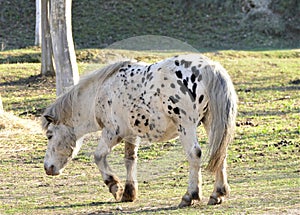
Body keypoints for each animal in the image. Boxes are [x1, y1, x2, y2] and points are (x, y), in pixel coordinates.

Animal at [42, 53, 239, 207]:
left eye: (50, 135)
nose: (48, 168)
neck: (101, 92)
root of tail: (209, 68)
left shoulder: (112, 133)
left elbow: (98, 156)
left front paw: (114, 186)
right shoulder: (131, 134)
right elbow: (130, 160)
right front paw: (129, 193)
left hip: (186, 126)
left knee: (195, 154)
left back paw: (190, 196)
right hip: (212, 123)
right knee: (220, 153)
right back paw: (218, 194)